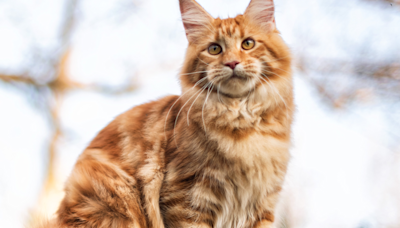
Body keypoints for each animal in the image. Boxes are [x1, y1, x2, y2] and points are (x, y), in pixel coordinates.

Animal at [32, 0, 294, 227]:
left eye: (248, 44)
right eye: (214, 49)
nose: (231, 63)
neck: (241, 118)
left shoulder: (262, 204)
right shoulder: (187, 198)